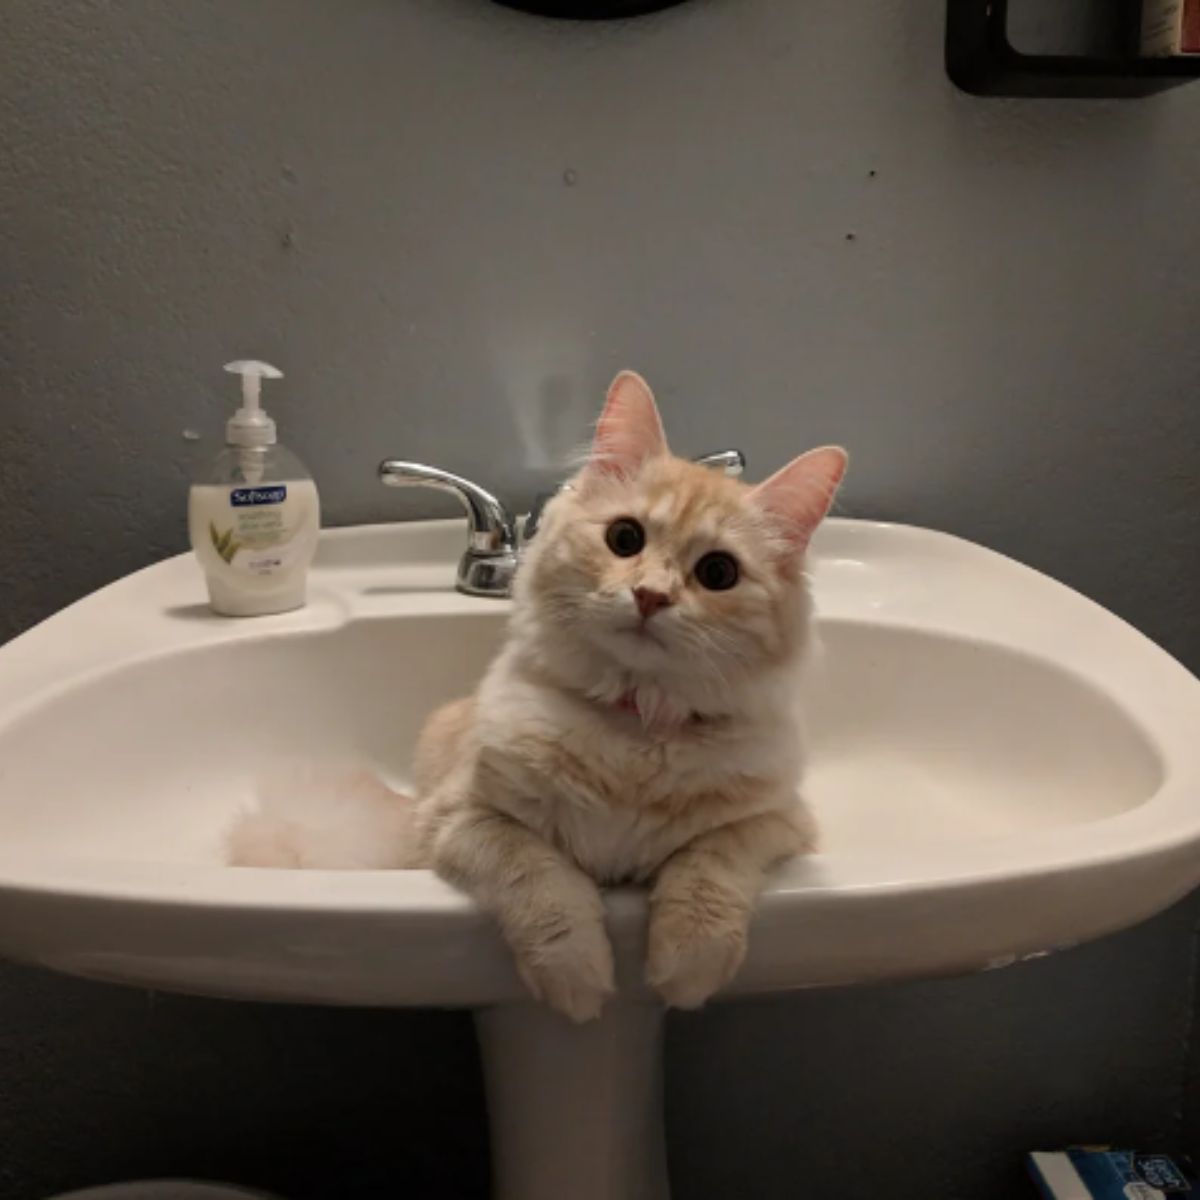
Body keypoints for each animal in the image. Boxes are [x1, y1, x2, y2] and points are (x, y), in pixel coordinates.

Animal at [225, 372, 844, 1022]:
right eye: (625, 538)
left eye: (718, 573)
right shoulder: (463, 819)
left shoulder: (776, 820)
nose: (650, 596)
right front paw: (577, 978)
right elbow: (542, 881)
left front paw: (687, 966)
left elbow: (708, 867)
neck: (633, 724)